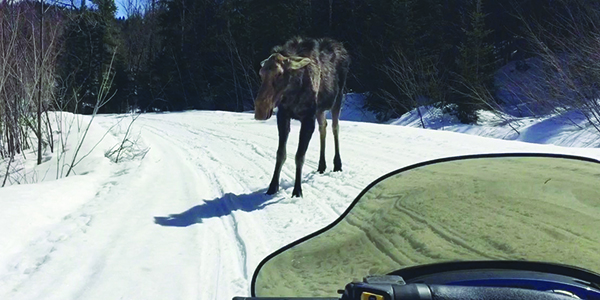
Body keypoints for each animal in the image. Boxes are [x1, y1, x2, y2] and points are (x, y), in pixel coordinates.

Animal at [254, 37, 350, 197]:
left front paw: (297, 190)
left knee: (335, 127)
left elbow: (300, 156)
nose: (261, 110)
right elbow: (281, 154)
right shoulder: (283, 115)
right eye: (261, 73)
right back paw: (321, 165)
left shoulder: (307, 118)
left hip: (338, 99)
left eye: (279, 74)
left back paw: (337, 164)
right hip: (320, 110)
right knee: (323, 127)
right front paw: (273, 187)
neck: (293, 92)